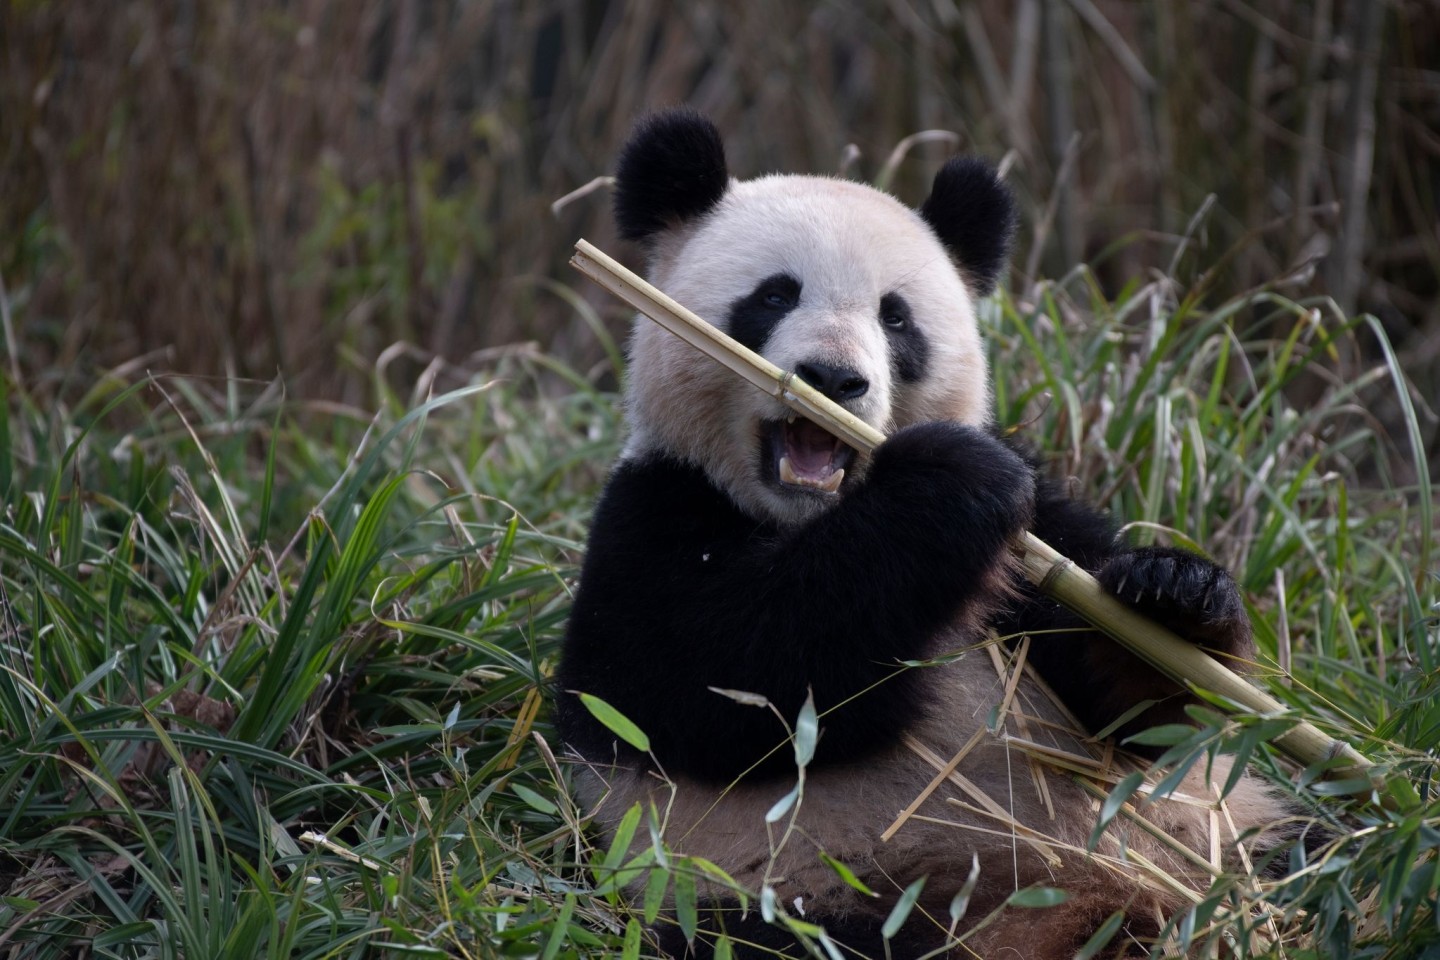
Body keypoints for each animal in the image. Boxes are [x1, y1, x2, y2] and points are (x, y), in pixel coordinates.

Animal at [552, 108, 1296, 955]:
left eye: (895, 316)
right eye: (773, 295)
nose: (834, 379)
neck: (811, 515)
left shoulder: (1043, 532)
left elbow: (1145, 724)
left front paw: (1173, 596)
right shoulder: (653, 515)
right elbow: (719, 684)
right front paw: (949, 481)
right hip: (815, 896)